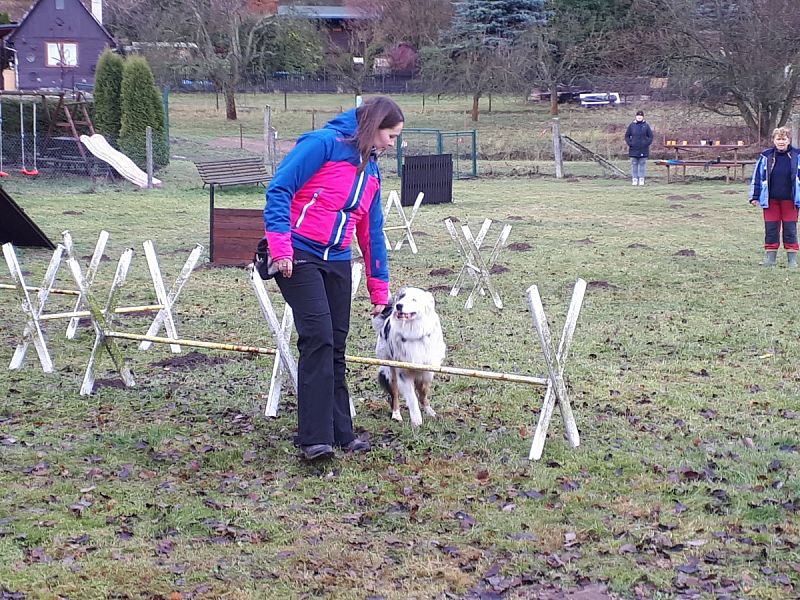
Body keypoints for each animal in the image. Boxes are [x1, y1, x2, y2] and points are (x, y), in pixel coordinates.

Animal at [374, 288, 446, 424]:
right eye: (401, 297)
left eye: (414, 299)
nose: (398, 305)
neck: (413, 332)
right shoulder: (403, 372)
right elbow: (412, 397)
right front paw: (416, 419)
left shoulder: (427, 370)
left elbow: (423, 392)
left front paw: (428, 410)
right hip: (389, 369)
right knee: (395, 394)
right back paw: (396, 414)